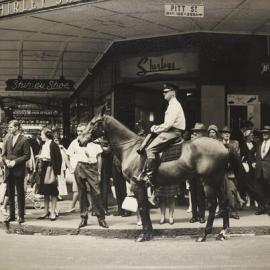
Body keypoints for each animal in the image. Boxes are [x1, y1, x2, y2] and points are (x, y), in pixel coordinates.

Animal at [79, 109, 238, 243]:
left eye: (93, 123)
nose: (80, 140)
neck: (130, 148)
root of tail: (223, 147)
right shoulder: (142, 187)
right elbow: (145, 209)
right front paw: (149, 233)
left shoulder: (137, 185)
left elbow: (142, 209)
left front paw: (143, 235)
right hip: (217, 181)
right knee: (224, 202)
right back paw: (222, 233)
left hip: (209, 182)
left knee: (212, 205)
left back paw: (204, 235)